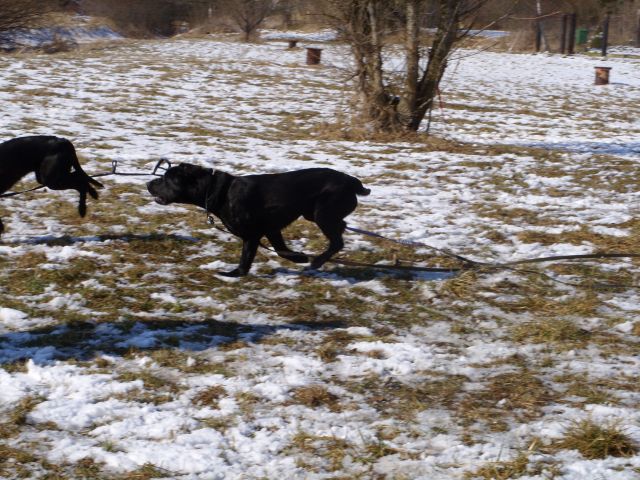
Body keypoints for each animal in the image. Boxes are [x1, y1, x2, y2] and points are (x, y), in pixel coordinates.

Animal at [148, 163, 370, 276]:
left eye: (166, 179)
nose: (148, 183)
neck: (219, 192)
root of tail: (353, 182)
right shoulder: (271, 229)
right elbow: (281, 250)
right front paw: (299, 257)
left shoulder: (252, 235)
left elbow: (246, 258)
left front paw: (234, 274)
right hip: (316, 214)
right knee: (341, 228)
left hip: (322, 214)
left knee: (337, 241)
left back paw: (317, 262)